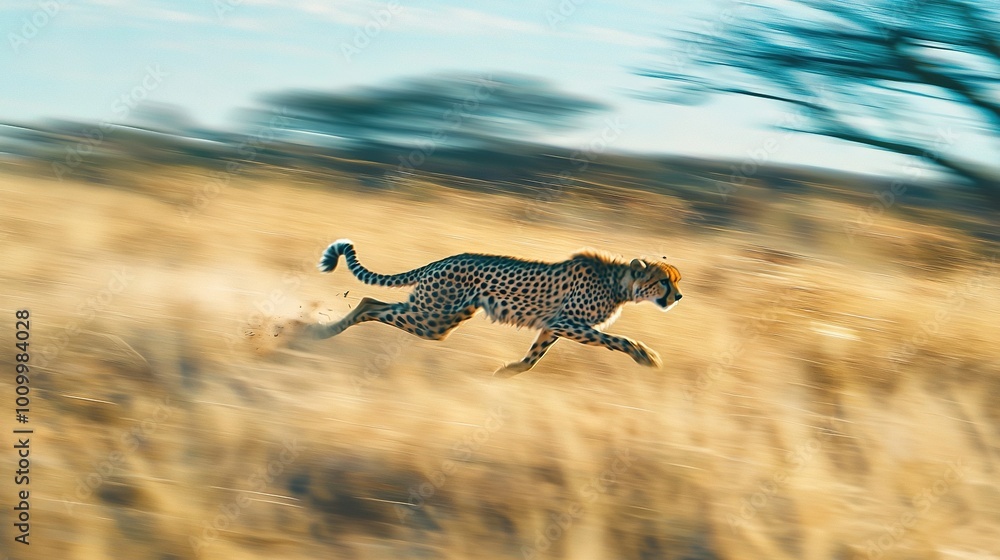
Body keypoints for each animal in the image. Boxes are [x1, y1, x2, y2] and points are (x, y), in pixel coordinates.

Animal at [304, 240, 680, 376]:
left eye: (677, 280)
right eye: (664, 281)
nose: (678, 297)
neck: (621, 282)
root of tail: (441, 260)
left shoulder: (553, 325)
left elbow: (534, 358)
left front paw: (508, 371)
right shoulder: (569, 322)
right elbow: (617, 340)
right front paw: (646, 356)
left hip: (438, 318)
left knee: (373, 301)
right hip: (431, 317)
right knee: (368, 303)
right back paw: (315, 334)